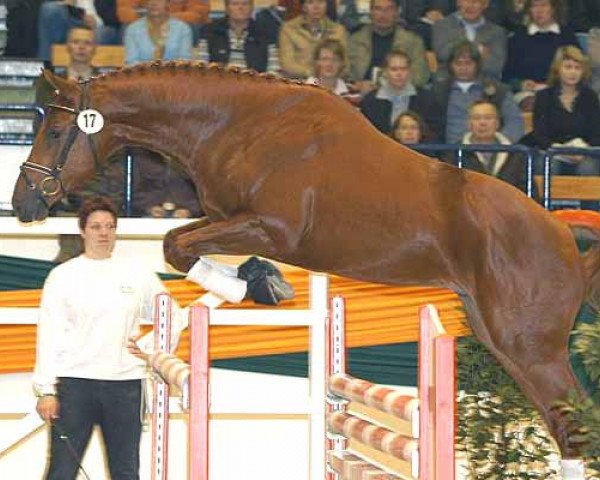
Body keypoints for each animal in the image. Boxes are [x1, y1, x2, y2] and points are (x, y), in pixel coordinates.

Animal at [11, 62, 600, 458]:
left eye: (57, 132)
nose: (23, 203)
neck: (239, 124)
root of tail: (567, 240)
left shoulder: (274, 229)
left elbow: (175, 245)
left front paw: (258, 284)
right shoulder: (230, 221)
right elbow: (181, 244)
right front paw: (260, 282)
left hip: (529, 347)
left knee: (573, 426)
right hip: (503, 341)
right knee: (565, 425)